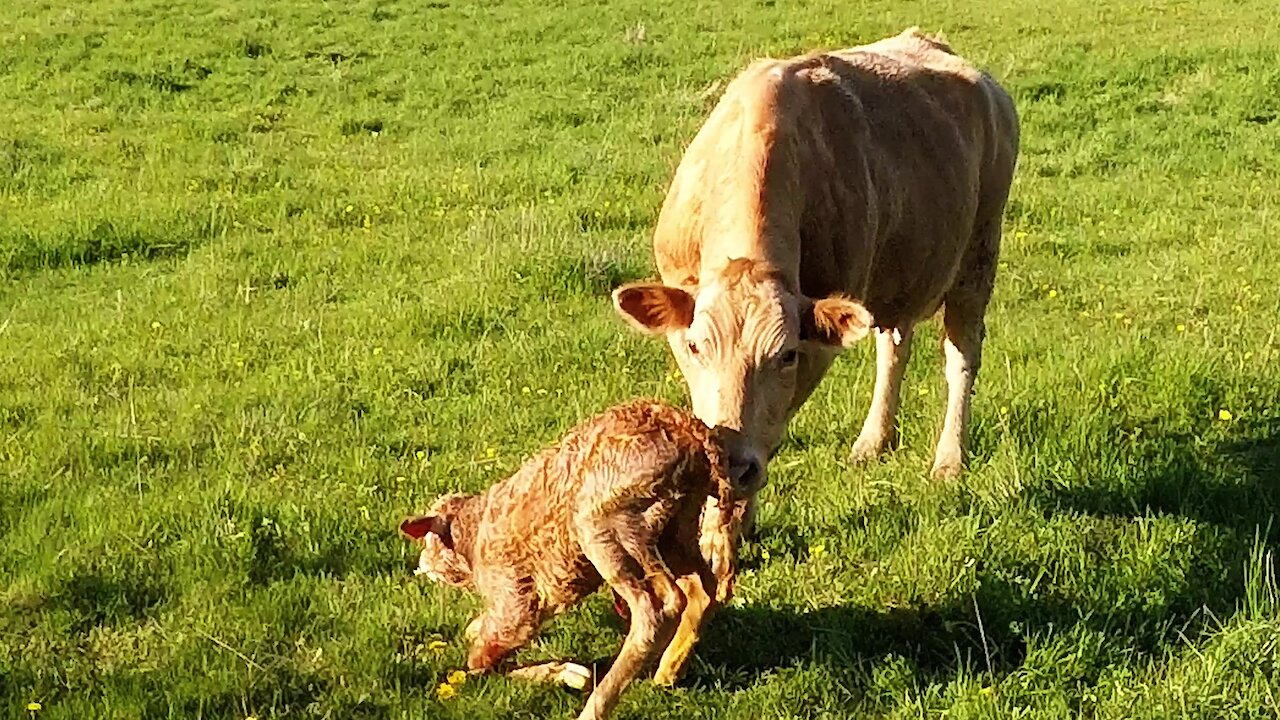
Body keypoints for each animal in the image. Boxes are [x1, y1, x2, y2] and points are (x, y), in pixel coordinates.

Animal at [404, 397, 752, 717]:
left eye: (428, 543)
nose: (422, 566)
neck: (471, 535)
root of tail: (690, 435)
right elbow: (477, 637)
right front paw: (566, 672)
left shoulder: (515, 602)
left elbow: (479, 660)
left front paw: (567, 674)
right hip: (676, 525)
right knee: (702, 590)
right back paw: (667, 671)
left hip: (606, 523)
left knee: (656, 609)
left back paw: (596, 706)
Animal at [609, 29, 1018, 499]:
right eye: (697, 347)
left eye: (786, 355)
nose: (733, 463)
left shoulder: (817, 345)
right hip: (901, 274)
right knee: (894, 348)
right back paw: (874, 441)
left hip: (979, 255)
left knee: (961, 355)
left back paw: (950, 459)